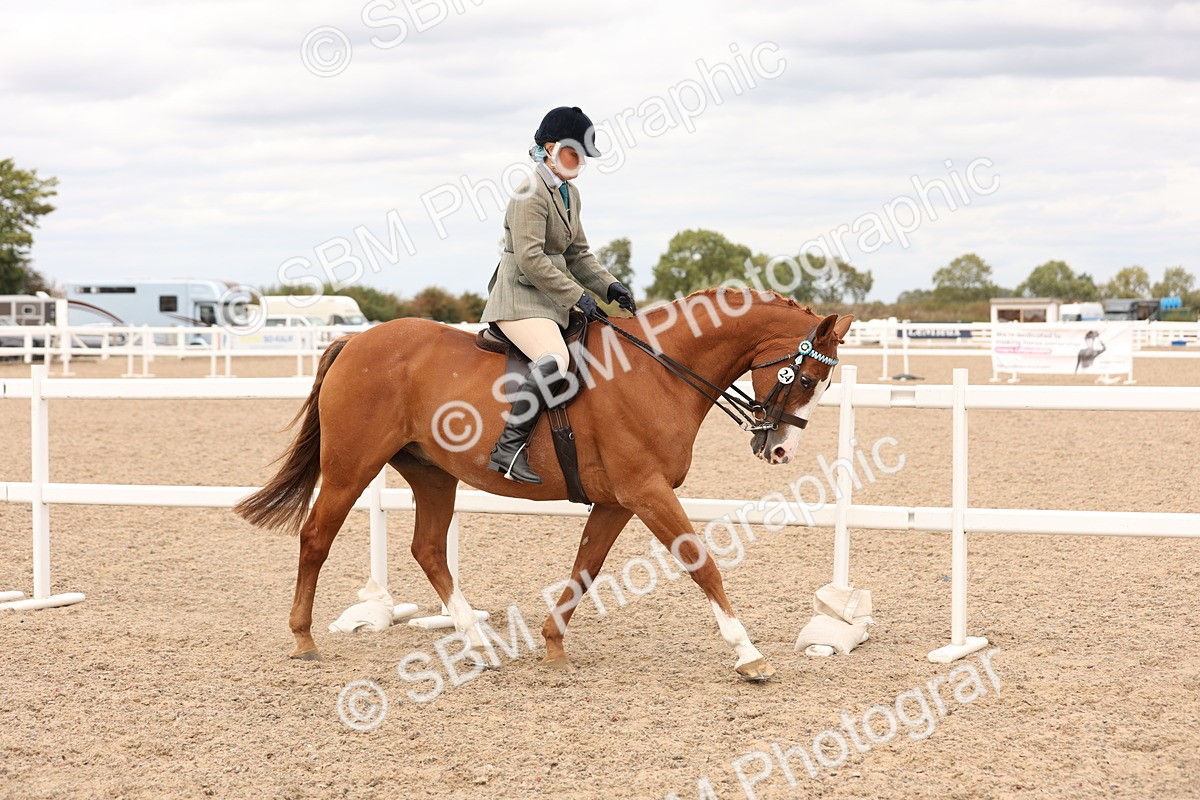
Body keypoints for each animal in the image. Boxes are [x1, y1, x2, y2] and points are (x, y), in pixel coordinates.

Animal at [234, 288, 853, 681]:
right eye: (806, 379)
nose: (779, 450)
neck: (658, 371)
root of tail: (356, 342)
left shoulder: (618, 500)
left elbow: (586, 568)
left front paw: (553, 646)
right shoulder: (647, 492)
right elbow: (702, 563)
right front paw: (748, 654)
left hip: (432, 473)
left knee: (428, 548)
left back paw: (479, 643)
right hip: (351, 466)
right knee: (316, 537)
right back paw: (304, 640)